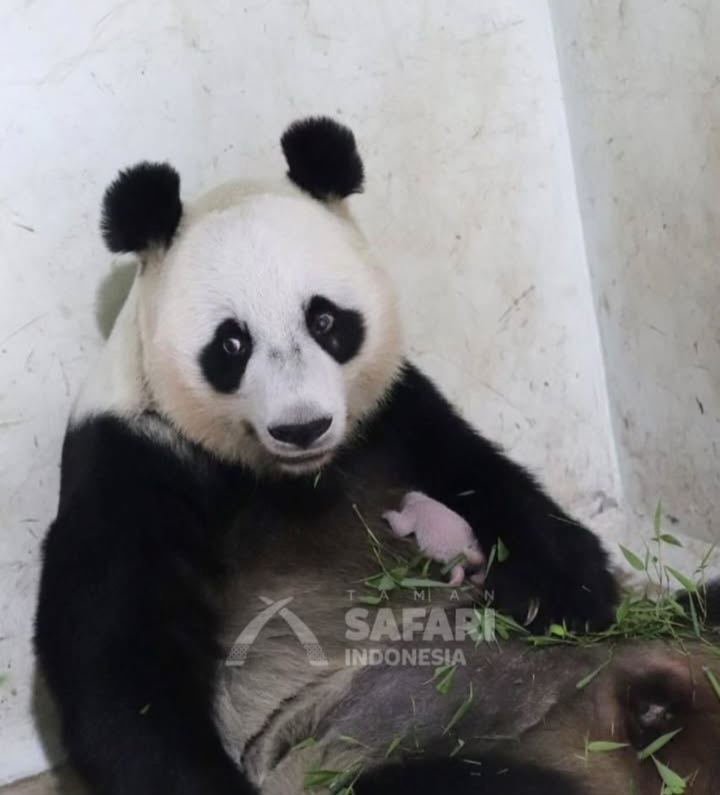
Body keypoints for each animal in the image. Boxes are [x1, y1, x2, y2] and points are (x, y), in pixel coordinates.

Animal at [34, 116, 650, 795]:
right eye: (231, 343)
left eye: (325, 320)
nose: (302, 427)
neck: (291, 479)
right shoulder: (135, 463)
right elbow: (122, 662)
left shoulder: (392, 415)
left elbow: (489, 482)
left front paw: (558, 594)